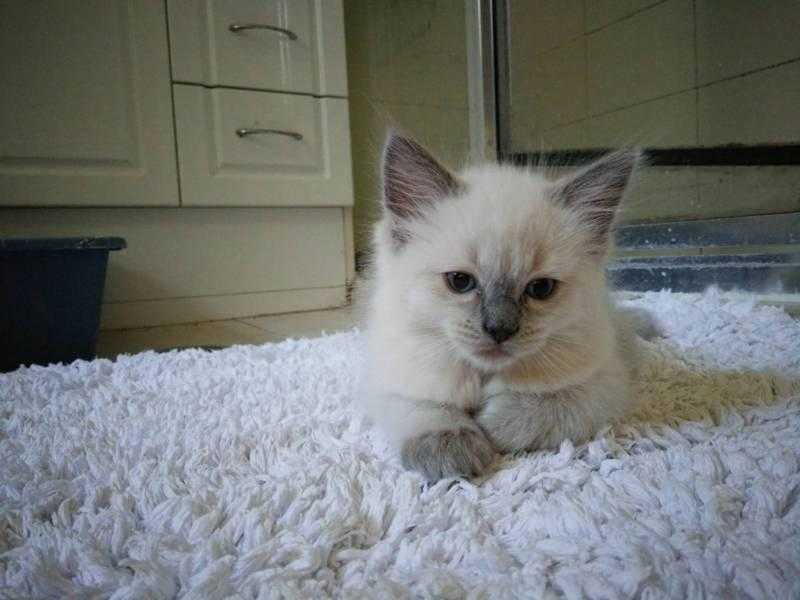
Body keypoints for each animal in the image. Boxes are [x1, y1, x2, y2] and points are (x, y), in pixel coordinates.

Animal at [360, 134, 652, 480]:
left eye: (540, 289)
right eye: (460, 281)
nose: (499, 329)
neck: (483, 375)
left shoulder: (604, 383)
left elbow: (548, 404)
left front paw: (489, 423)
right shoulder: (388, 376)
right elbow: (424, 405)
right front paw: (451, 445)